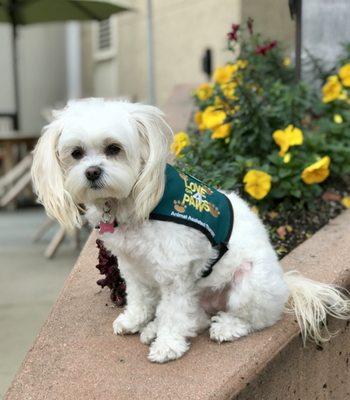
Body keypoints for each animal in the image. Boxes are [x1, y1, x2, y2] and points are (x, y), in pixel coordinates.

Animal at [31, 99, 348, 362]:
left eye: (114, 149)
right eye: (76, 153)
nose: (92, 172)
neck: (135, 203)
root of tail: (286, 284)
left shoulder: (175, 275)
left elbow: (174, 314)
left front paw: (167, 346)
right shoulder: (132, 266)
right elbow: (140, 297)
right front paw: (135, 320)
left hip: (248, 284)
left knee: (253, 319)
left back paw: (226, 327)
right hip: (199, 295)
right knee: (195, 318)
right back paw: (154, 327)